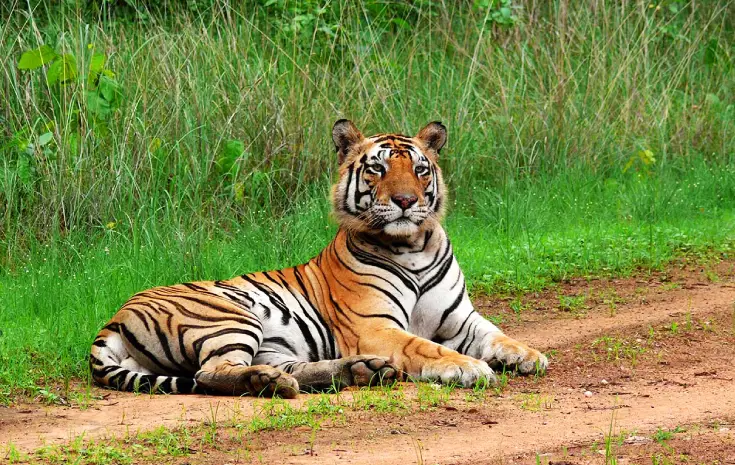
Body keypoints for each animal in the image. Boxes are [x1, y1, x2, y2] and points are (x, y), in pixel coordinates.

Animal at [90, 120, 548, 398]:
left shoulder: (462, 319)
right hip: (228, 316)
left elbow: (499, 334)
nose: (405, 201)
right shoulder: (375, 326)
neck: (413, 247)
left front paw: (528, 356)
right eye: (378, 170)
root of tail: (115, 315)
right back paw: (270, 381)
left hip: (274, 345)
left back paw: (361, 371)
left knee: (294, 369)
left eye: (420, 170)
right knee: (210, 372)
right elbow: (424, 347)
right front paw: (469, 367)